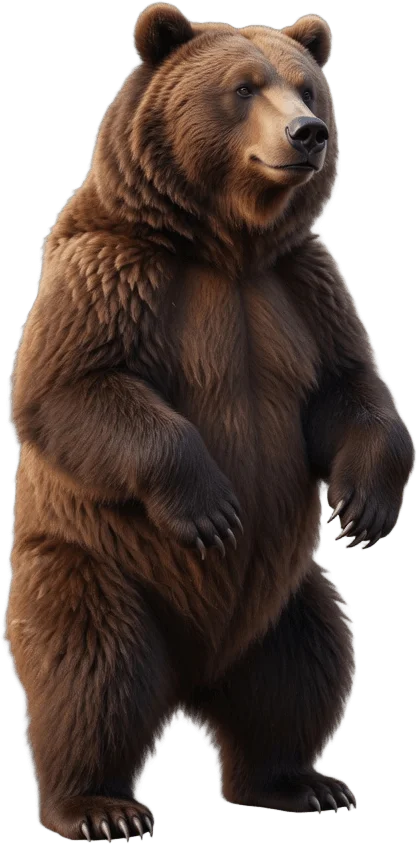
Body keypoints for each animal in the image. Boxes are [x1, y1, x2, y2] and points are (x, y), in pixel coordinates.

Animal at [5, 2, 416, 839]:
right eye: (243, 86)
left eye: (306, 87)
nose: (306, 135)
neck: (225, 245)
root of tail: (191, 678)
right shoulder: (117, 271)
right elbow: (73, 389)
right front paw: (211, 508)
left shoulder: (299, 287)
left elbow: (348, 388)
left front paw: (364, 507)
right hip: (99, 567)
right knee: (90, 669)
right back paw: (98, 806)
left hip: (281, 598)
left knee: (305, 665)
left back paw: (300, 781)